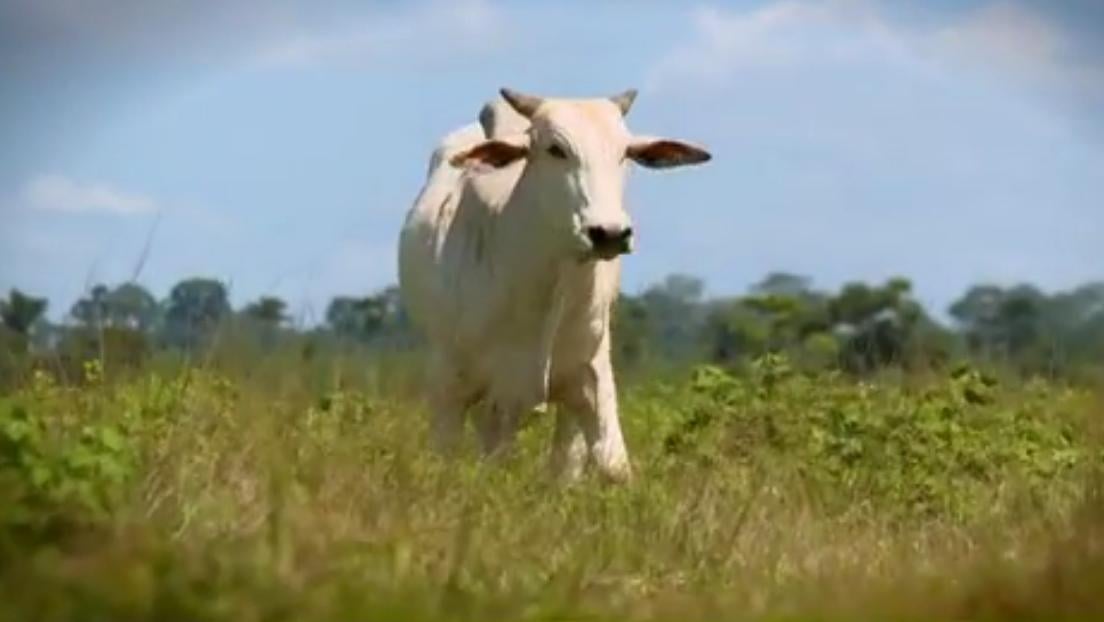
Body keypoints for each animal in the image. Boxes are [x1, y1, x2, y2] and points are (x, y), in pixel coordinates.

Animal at [401, 87, 710, 481]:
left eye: (625, 152)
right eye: (555, 149)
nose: (610, 233)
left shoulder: (592, 374)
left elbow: (612, 464)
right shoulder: (449, 387)